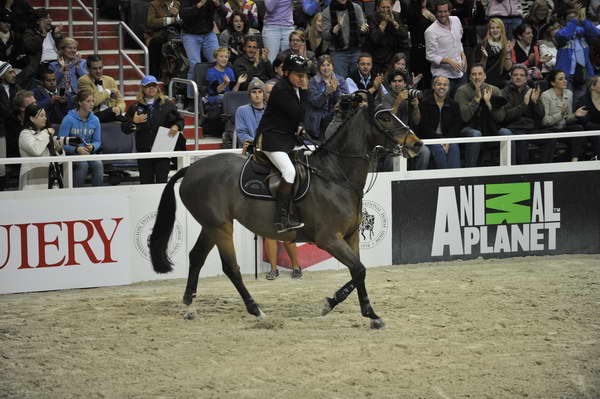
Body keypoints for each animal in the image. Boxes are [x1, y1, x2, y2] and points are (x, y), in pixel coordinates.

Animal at [150, 96, 422, 328]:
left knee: (196, 257)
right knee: (231, 268)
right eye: (384, 118)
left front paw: (350, 307)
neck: (335, 175)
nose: (416, 144)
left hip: (211, 225)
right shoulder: (329, 239)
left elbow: (359, 273)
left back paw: (189, 306)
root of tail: (192, 170)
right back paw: (256, 310)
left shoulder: (351, 236)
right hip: (220, 227)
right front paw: (357, 311)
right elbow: (359, 270)